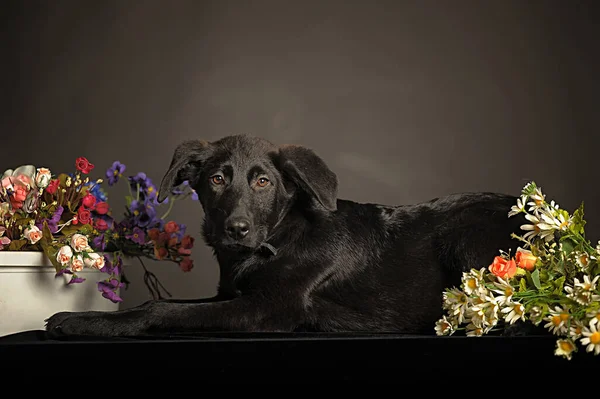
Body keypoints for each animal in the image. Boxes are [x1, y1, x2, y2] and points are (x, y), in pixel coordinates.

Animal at [44, 134, 528, 338]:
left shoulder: (269, 309)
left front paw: (87, 322)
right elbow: (171, 303)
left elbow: (161, 307)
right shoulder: (229, 296)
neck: (273, 241)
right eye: (217, 179)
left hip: (466, 238)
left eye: (263, 182)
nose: (236, 229)